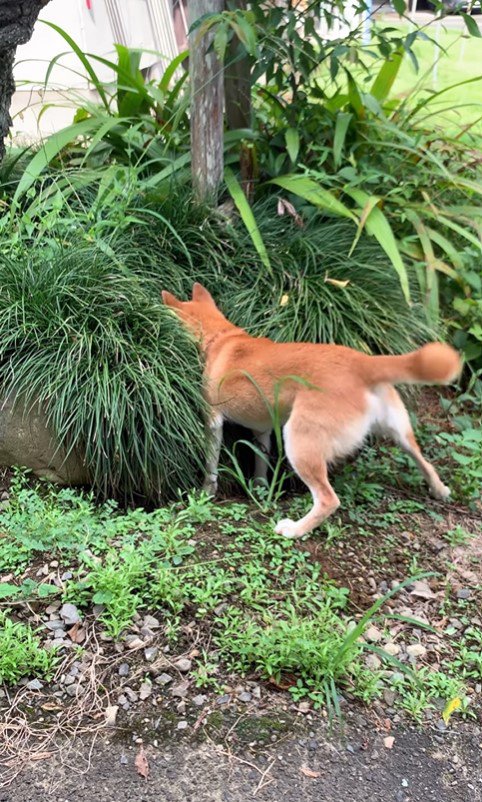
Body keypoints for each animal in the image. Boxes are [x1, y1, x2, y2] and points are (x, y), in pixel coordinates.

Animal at [164, 282, 462, 536]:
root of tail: (362, 363)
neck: (221, 337)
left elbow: (210, 465)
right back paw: (440, 490)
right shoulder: (263, 429)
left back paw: (294, 530)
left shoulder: (213, 420)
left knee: (328, 499)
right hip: (398, 431)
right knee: (424, 461)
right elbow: (260, 464)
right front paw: (260, 489)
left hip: (298, 440)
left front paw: (206, 490)